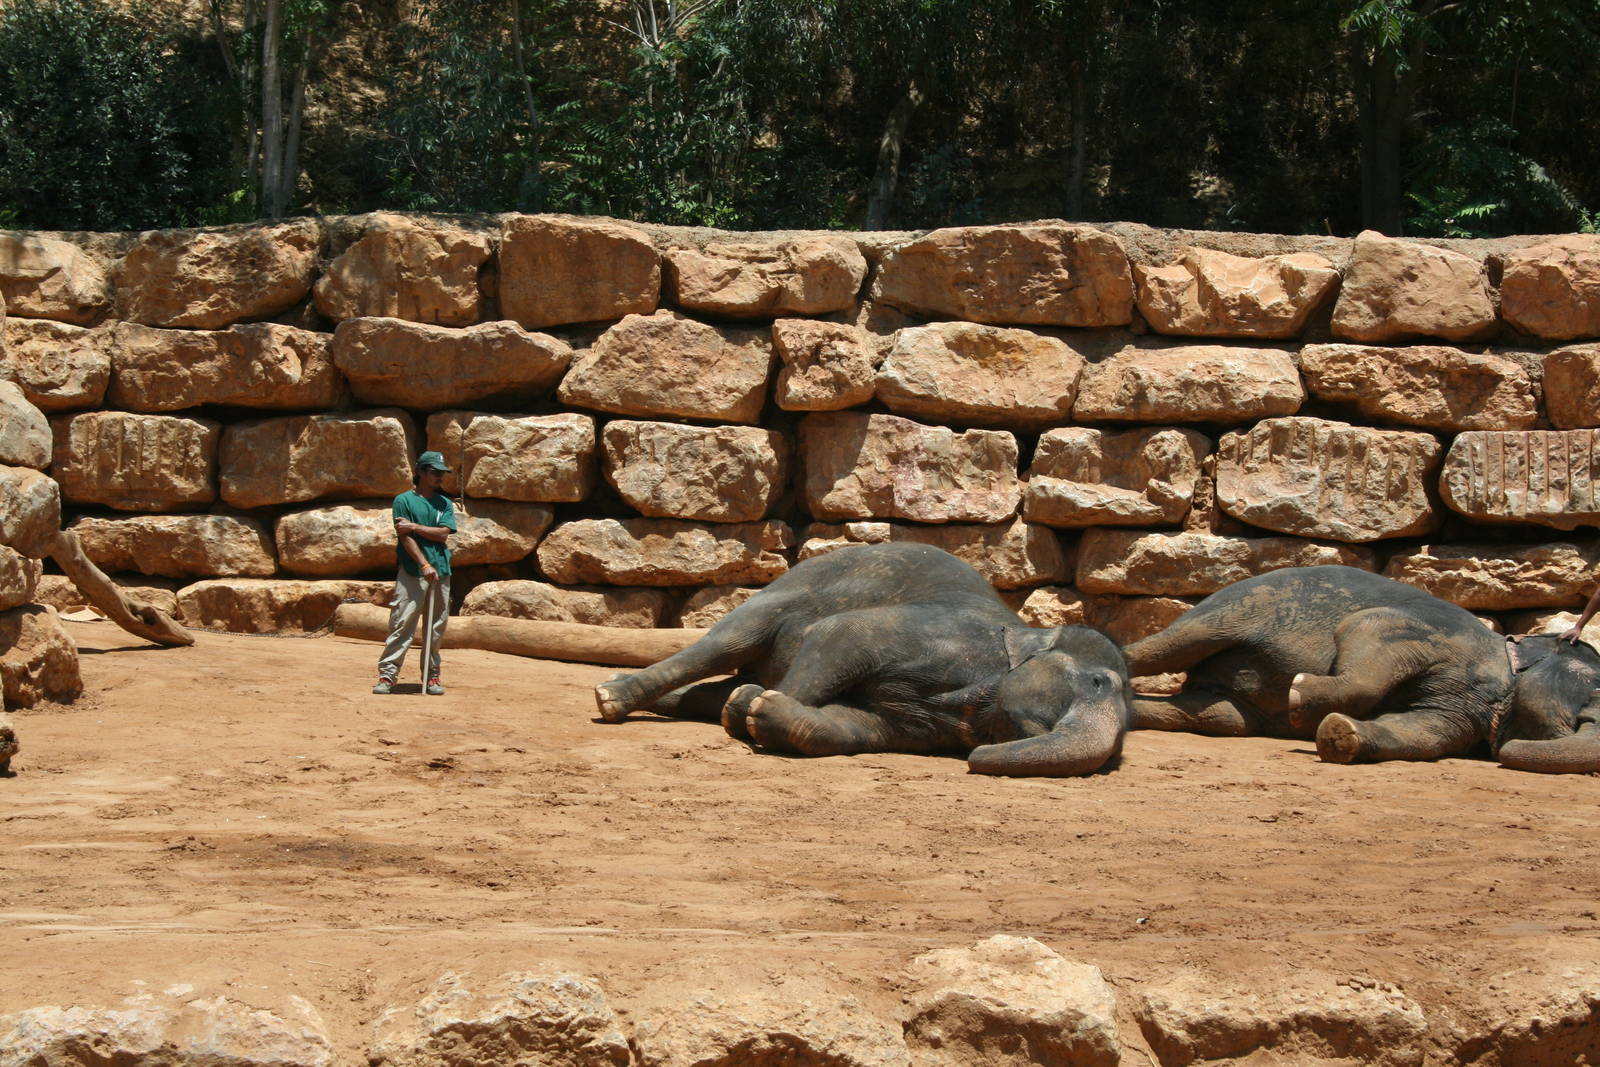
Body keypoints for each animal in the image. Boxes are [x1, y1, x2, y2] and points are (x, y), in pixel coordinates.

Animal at [592, 543, 1134, 777]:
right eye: (1097, 683)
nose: (974, 762)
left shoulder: (924, 728)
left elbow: (854, 727)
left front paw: (757, 712)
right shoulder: (942, 638)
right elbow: (844, 635)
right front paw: (748, 712)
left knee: (716, 683)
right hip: (793, 585)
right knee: (728, 641)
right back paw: (611, 698)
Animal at [1122, 565, 1600, 773]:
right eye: (1595, 688)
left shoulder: (1467, 713)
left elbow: (1423, 733)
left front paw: (1338, 734)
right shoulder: (1437, 634)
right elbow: (1365, 627)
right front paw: (1300, 694)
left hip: (1227, 698)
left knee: (1217, 717)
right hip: (1239, 606)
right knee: (1170, 647)